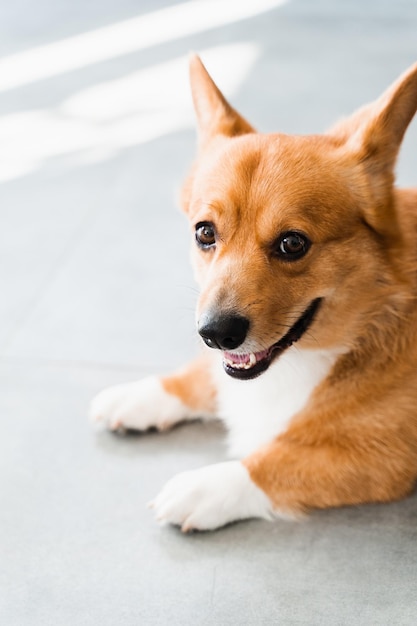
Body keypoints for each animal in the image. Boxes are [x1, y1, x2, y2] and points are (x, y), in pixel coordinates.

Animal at [89, 56, 416, 528]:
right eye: (204, 232)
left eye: (293, 243)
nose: (215, 334)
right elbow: (203, 376)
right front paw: (143, 395)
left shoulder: (385, 458)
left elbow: (274, 462)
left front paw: (203, 487)